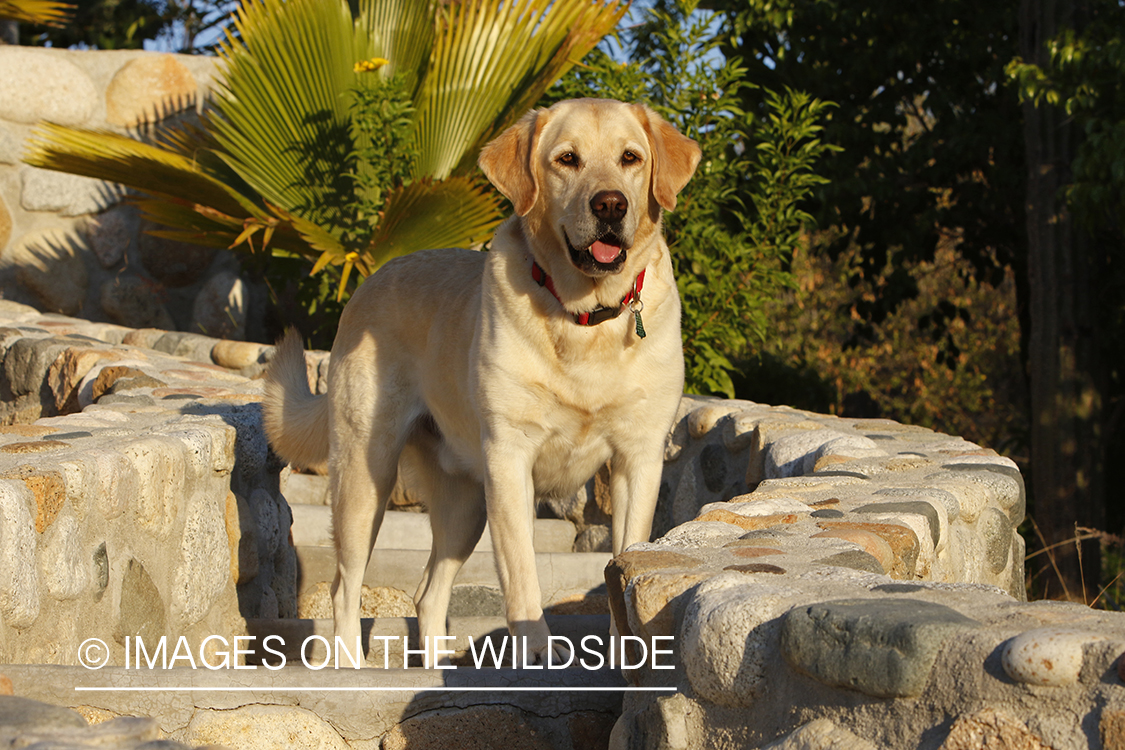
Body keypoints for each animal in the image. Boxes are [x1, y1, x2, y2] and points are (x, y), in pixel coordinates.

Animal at [266, 96, 697, 665]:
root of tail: (372, 279)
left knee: (428, 594)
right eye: (567, 159)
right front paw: (536, 653)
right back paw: (351, 664)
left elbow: (625, 559)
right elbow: (522, 572)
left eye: (630, 157)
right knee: (344, 586)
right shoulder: (511, 459)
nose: (610, 205)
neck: (585, 319)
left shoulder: (638, 459)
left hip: (465, 505)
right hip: (367, 476)